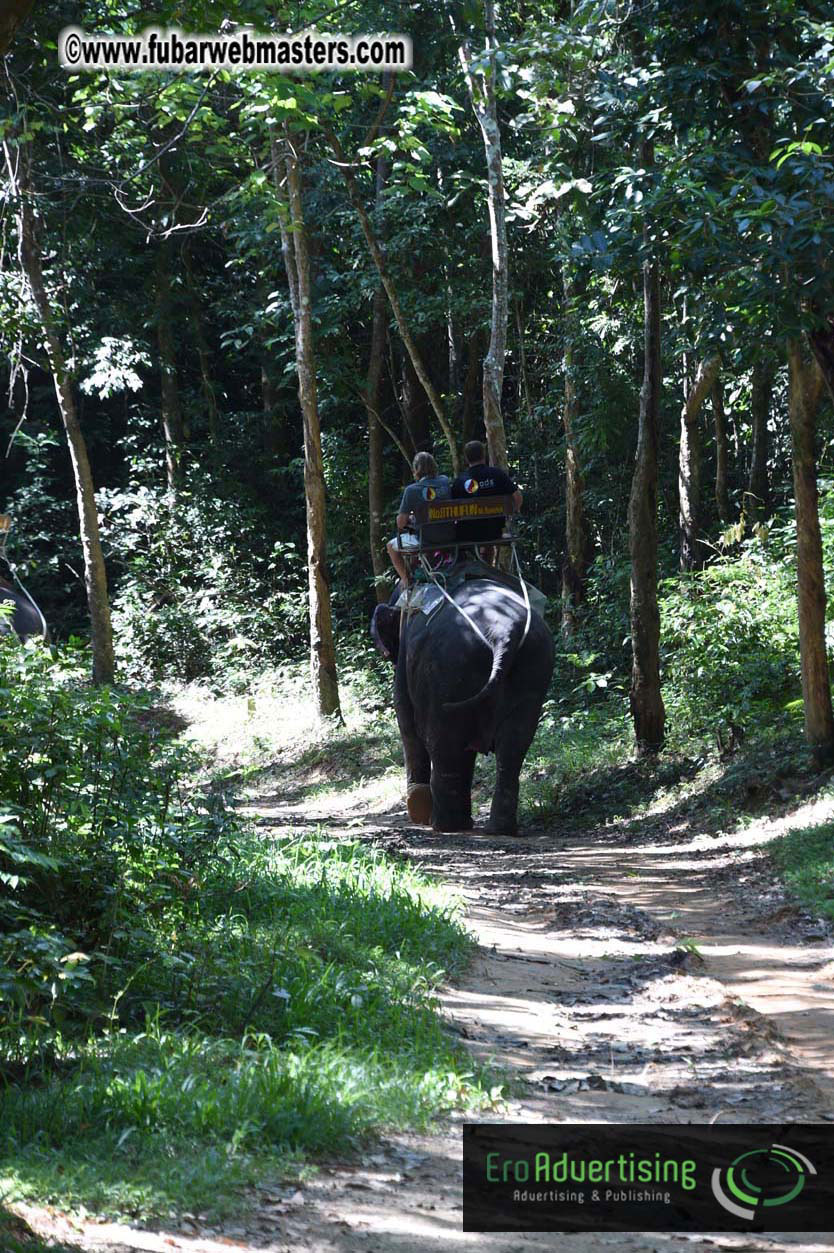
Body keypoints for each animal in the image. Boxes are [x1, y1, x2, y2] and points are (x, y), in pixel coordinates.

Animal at [393, 570, 554, 837]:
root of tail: (503, 635)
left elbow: (405, 719)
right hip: (534, 667)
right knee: (514, 744)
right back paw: (498, 829)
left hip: (447, 671)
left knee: (443, 742)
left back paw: (443, 825)